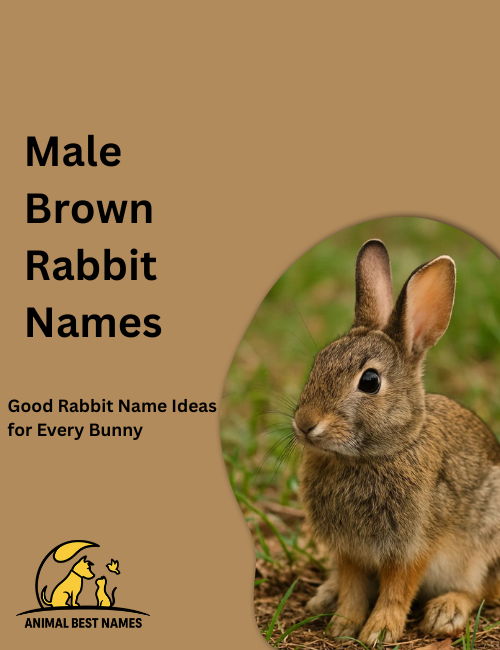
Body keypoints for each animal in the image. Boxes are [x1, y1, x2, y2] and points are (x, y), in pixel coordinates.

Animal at [293, 239, 500, 645]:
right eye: (317, 363)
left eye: (370, 382)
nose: (305, 424)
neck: (375, 455)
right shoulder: (350, 550)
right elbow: (353, 586)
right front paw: (343, 625)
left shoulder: (412, 546)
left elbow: (397, 589)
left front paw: (378, 631)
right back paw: (325, 595)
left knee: (481, 589)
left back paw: (445, 612)